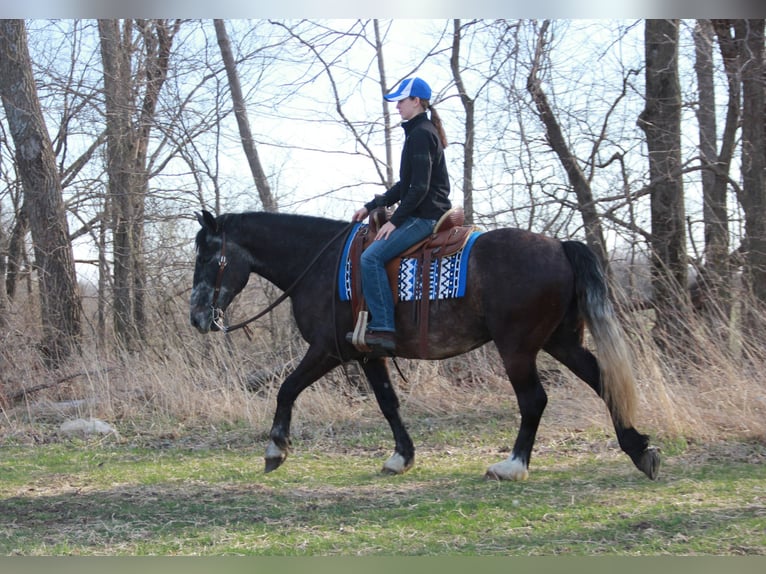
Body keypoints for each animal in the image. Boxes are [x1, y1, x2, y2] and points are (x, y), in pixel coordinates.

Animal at [189, 209, 660, 481]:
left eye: (208, 256)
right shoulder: (366, 353)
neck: (319, 263)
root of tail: (559, 246)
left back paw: (513, 465)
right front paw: (402, 457)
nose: (197, 316)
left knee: (533, 400)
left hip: (518, 348)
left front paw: (276, 449)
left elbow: (287, 388)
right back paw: (640, 450)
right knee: (602, 381)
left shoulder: (328, 350)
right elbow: (388, 403)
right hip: (560, 341)